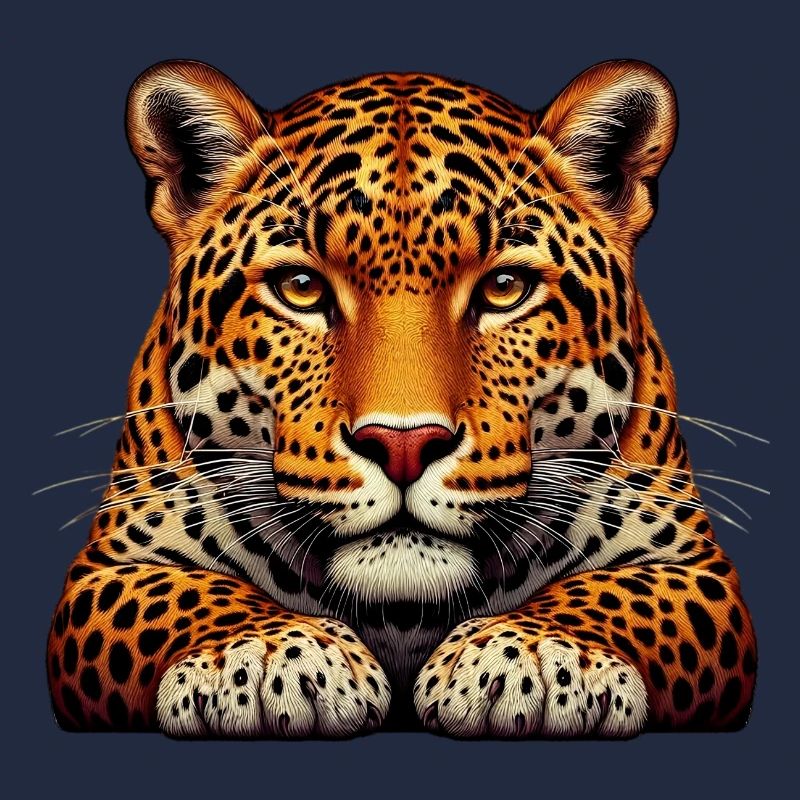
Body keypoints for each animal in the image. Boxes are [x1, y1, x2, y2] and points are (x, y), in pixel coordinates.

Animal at [47, 59, 757, 738]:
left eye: (505, 287)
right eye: (301, 287)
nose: (405, 445)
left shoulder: (694, 566)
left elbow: (617, 594)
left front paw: (536, 655)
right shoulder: (110, 566)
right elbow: (186, 594)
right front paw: (265, 655)